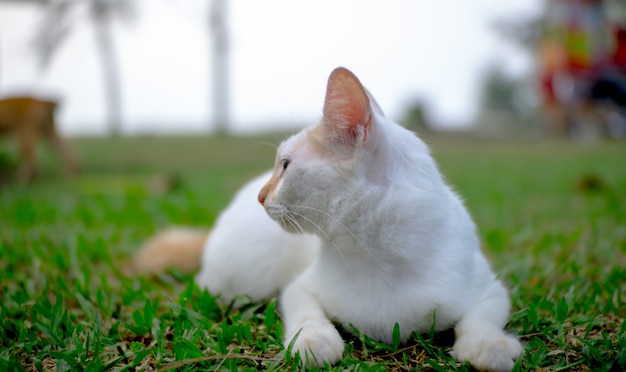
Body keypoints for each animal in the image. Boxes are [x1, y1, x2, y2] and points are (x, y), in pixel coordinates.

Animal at [135, 67, 520, 372]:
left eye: (286, 166)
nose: (261, 196)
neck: (378, 257)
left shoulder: (490, 290)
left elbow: (481, 319)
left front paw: (490, 346)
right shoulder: (298, 288)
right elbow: (309, 316)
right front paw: (314, 342)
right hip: (237, 281)